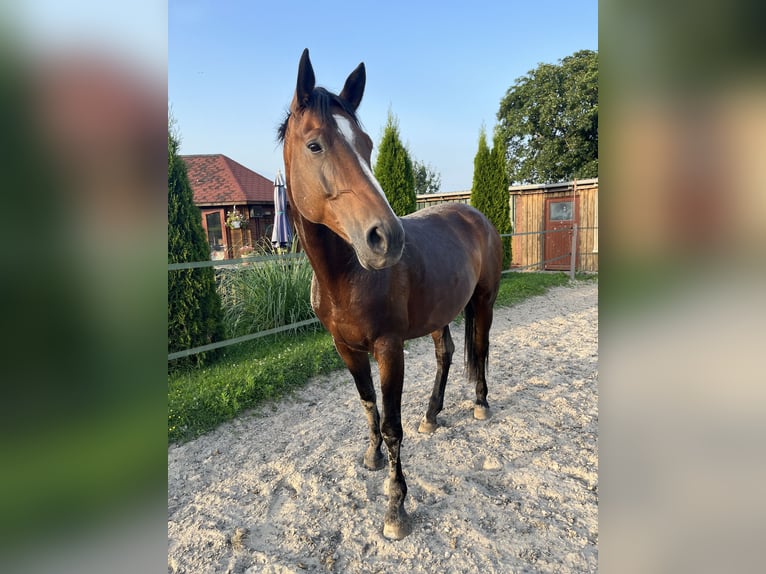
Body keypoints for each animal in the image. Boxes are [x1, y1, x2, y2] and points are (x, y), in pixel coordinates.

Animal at [278, 48, 504, 540]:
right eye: (315, 145)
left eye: (367, 145)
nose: (387, 238)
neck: (346, 276)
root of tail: (476, 215)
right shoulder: (345, 348)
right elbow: (368, 406)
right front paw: (372, 458)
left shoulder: (389, 348)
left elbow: (392, 425)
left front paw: (396, 508)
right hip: (441, 313)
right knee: (446, 354)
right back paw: (433, 415)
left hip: (484, 301)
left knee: (480, 348)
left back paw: (480, 404)